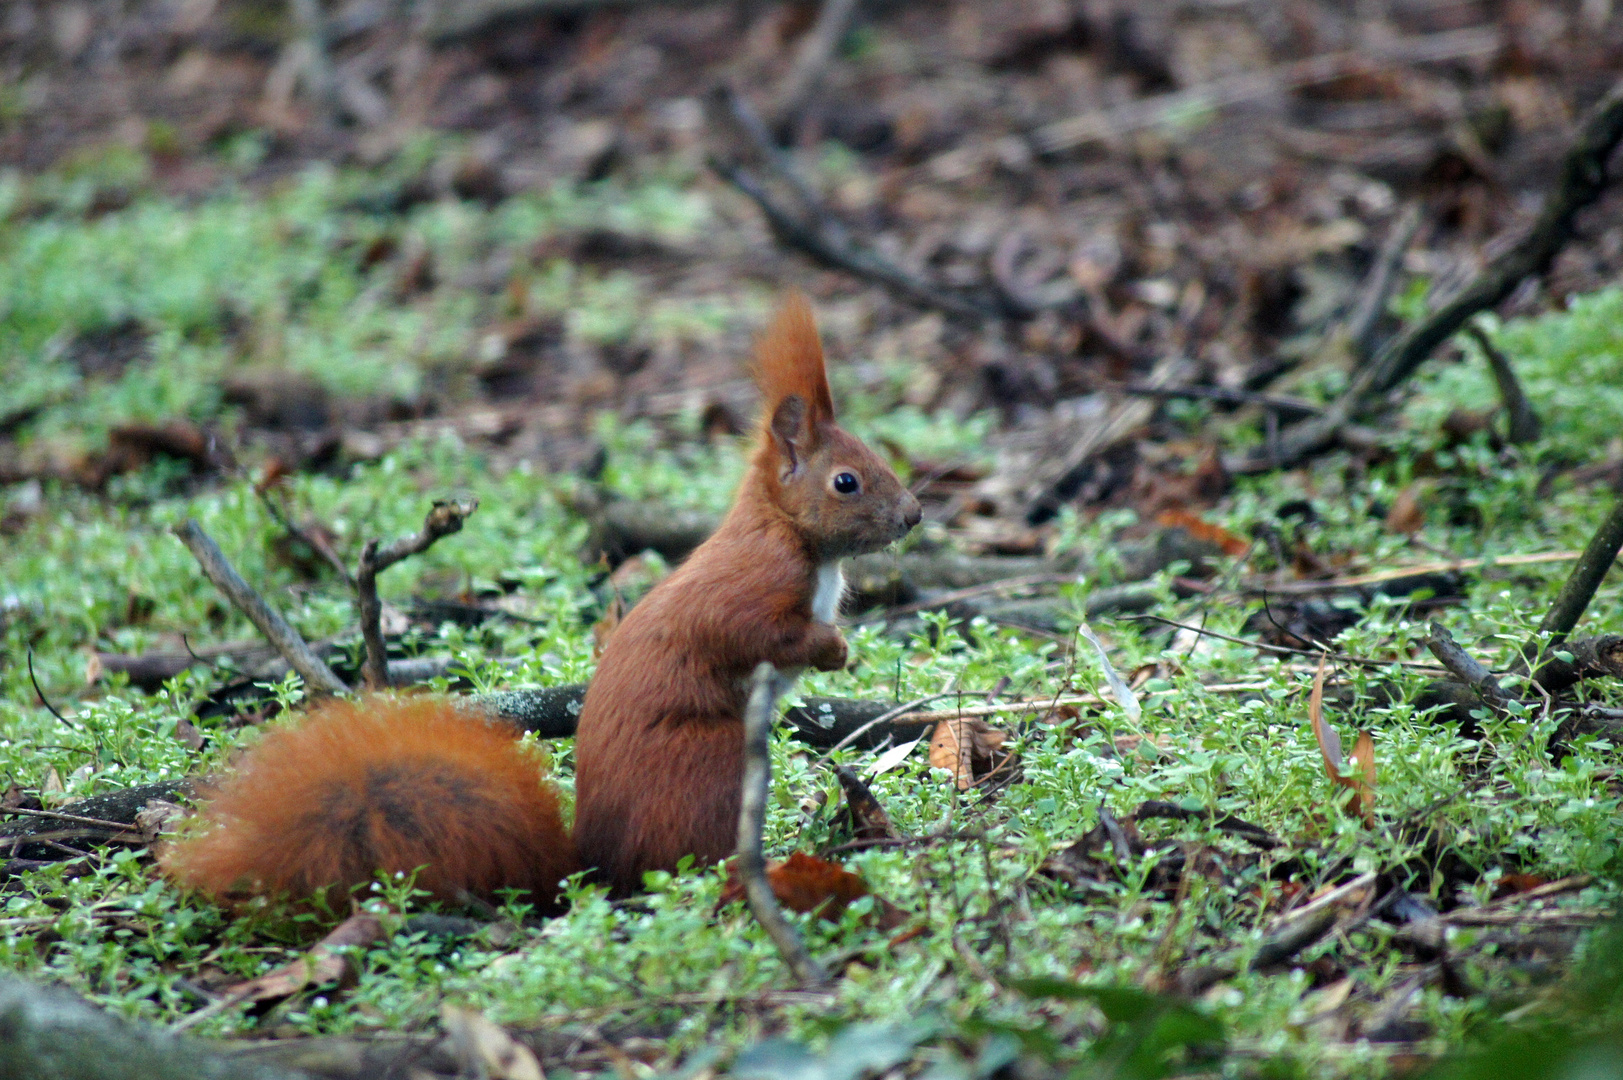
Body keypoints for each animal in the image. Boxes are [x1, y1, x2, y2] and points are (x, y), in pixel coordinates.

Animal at [164, 295, 928, 909]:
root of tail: (591, 868)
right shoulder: (748, 587)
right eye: (847, 481)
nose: (914, 515)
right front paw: (831, 647)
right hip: (711, 765)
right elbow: (755, 632)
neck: (792, 536)